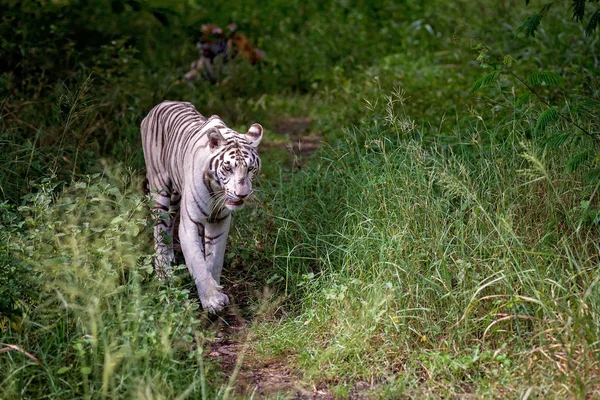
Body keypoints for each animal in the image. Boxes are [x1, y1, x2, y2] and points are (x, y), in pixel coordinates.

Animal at [142, 100, 264, 312]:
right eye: (228, 167)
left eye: (250, 168)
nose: (242, 194)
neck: (217, 192)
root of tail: (163, 103)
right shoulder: (190, 223)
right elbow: (197, 261)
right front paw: (212, 300)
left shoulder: (219, 221)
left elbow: (214, 260)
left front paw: (217, 291)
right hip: (160, 190)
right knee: (160, 230)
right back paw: (164, 272)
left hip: (175, 197)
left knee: (169, 224)